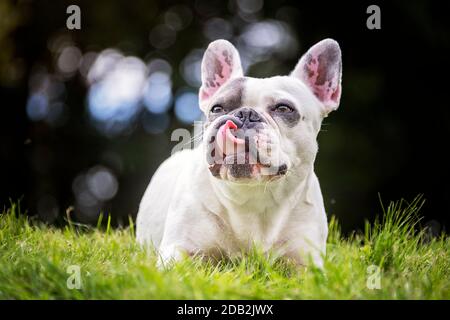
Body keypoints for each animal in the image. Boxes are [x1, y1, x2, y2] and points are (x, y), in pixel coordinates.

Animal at [135, 38, 342, 268]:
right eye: (217, 108)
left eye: (284, 108)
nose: (245, 114)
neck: (252, 195)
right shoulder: (177, 249)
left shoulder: (305, 262)